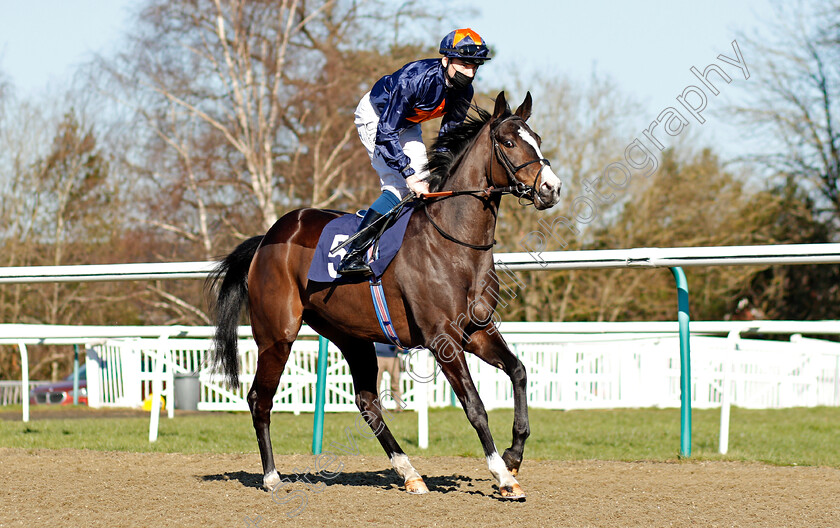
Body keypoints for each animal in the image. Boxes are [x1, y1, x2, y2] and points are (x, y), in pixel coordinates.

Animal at [209, 91, 560, 500]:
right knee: (259, 399)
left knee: (367, 403)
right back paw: (271, 477)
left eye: (537, 137)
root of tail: (267, 238)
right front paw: (502, 476)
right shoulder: (442, 338)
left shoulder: (477, 330)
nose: (551, 188)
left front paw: (513, 457)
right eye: (507, 142)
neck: (454, 243)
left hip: (351, 336)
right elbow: (475, 406)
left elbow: (519, 371)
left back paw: (410, 473)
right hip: (276, 335)